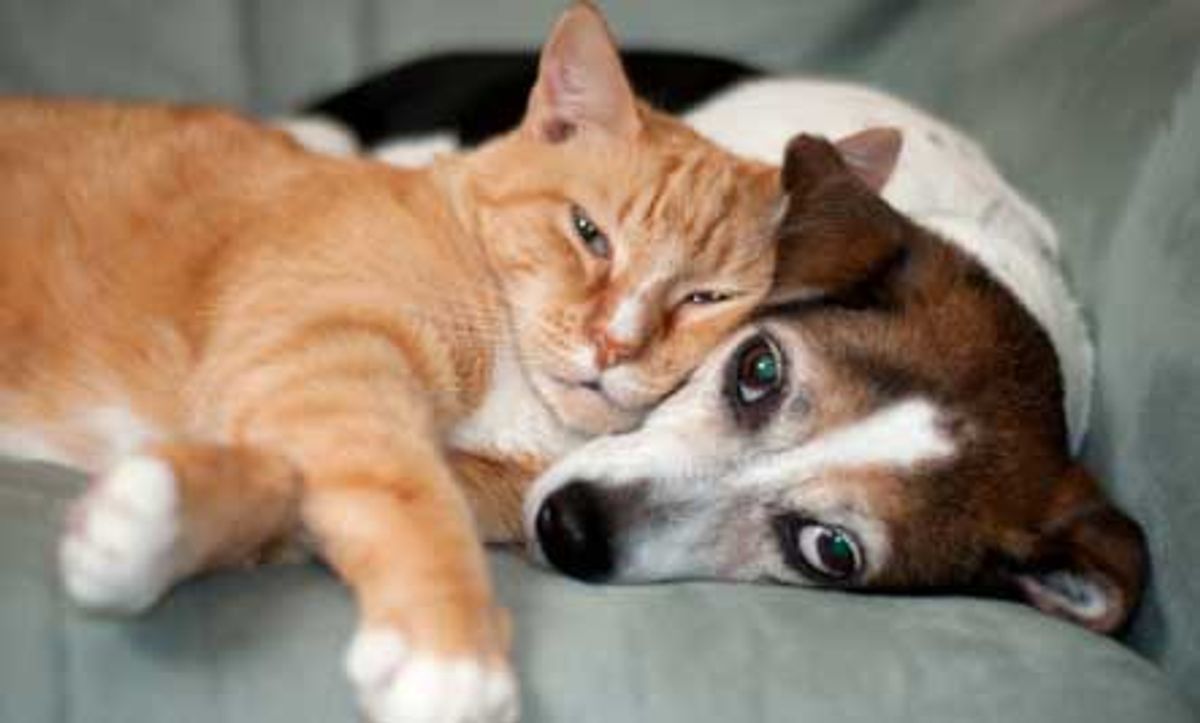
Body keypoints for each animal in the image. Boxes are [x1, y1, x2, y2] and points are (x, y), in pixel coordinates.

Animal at [0, 5, 787, 720]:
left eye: (705, 297)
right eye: (588, 232)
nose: (613, 344)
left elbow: (285, 494)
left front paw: (146, 528)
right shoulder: (328, 356)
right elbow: (409, 495)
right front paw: (451, 655)